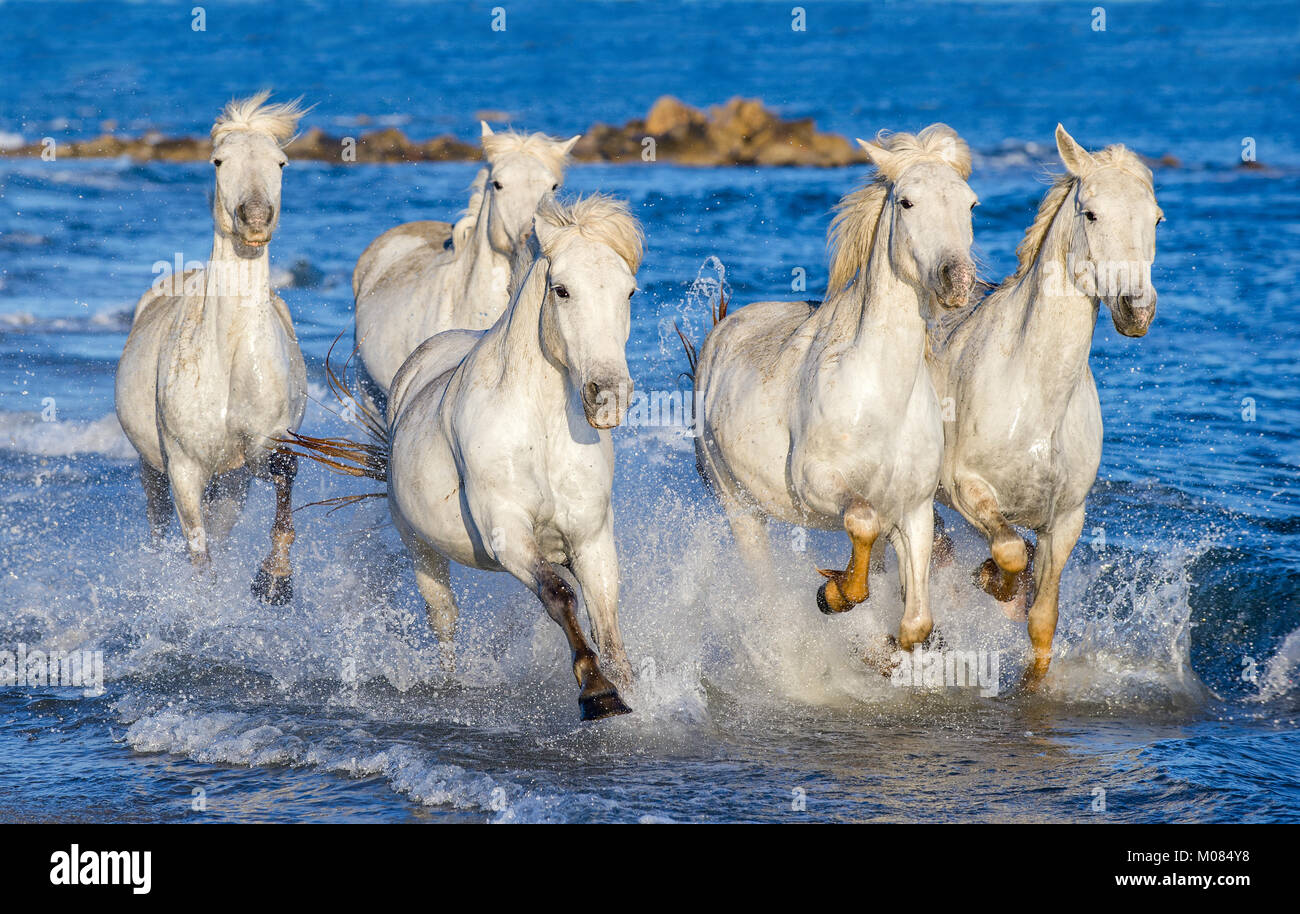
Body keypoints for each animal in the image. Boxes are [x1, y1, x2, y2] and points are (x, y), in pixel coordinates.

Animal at [115, 92, 309, 604]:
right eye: (219, 161)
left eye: (281, 162)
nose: (255, 219)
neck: (230, 355)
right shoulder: (183, 467)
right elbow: (198, 556)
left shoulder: (260, 449)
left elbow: (285, 473)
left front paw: (275, 580)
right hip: (152, 470)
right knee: (159, 524)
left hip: (231, 482)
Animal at [288, 195, 643, 722]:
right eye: (562, 290)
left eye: (630, 292)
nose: (609, 396)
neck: (540, 432)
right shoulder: (506, 531)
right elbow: (560, 596)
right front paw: (596, 692)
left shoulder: (591, 538)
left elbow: (607, 621)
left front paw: (629, 690)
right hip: (419, 547)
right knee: (444, 618)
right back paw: (449, 685)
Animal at [691, 125, 977, 653]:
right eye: (906, 201)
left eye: (970, 204)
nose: (958, 280)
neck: (879, 398)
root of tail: (722, 330)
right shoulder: (816, 483)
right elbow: (861, 521)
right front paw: (834, 594)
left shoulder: (914, 510)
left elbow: (916, 623)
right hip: (739, 508)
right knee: (763, 584)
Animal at [929, 124, 1162, 688]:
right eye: (1091, 213)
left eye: (1157, 218)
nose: (1137, 310)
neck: (1034, 399)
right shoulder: (966, 489)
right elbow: (1010, 552)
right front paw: (993, 582)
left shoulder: (1066, 520)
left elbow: (1042, 620)